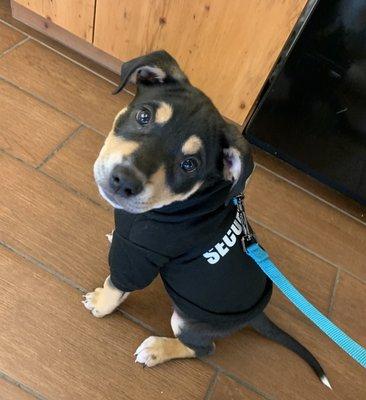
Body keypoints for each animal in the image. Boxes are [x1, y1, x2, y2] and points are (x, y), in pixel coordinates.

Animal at [83, 49, 332, 388]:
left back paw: (156, 350)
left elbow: (117, 283)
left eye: (189, 164)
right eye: (144, 116)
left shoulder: (143, 256)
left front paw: (101, 303)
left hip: (187, 320)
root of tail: (255, 314)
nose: (124, 181)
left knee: (203, 349)